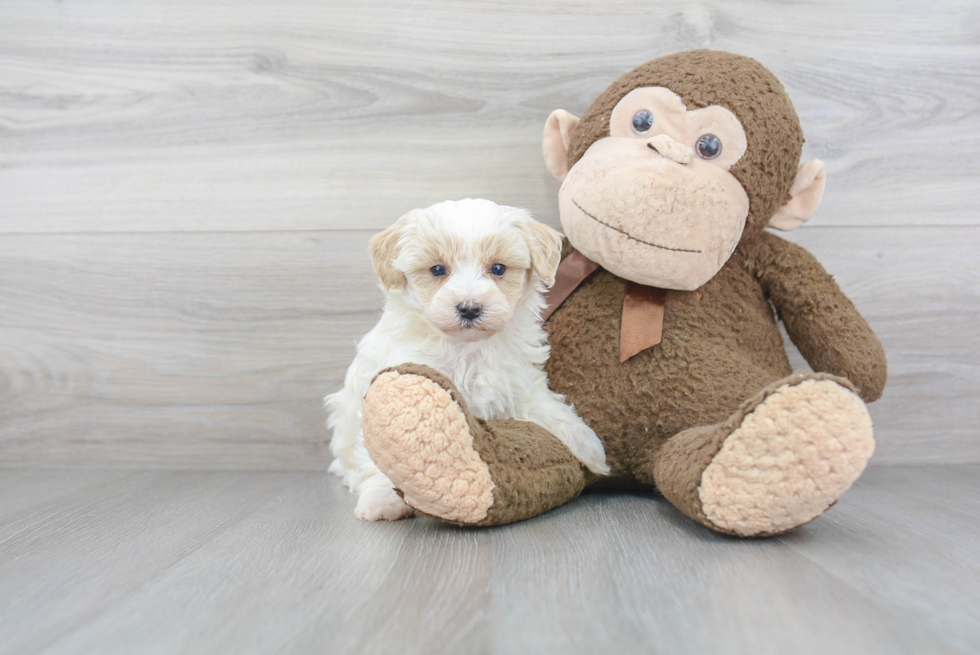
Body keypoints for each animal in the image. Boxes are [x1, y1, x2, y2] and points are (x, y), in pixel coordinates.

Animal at [326, 197, 608, 520]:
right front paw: (381, 499)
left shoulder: (518, 382)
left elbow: (546, 408)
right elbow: (381, 452)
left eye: (498, 268)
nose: (470, 308)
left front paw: (589, 447)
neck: (466, 348)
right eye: (438, 269)